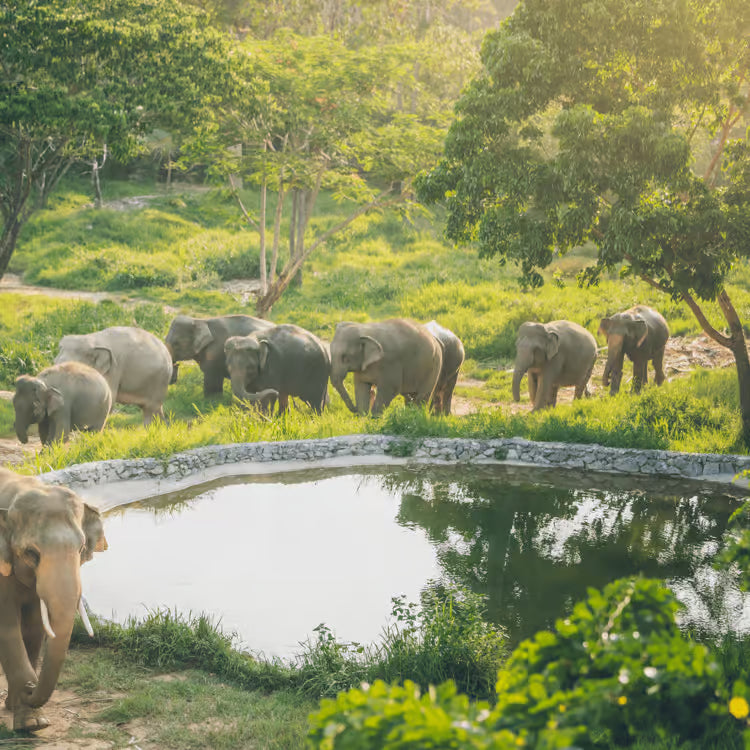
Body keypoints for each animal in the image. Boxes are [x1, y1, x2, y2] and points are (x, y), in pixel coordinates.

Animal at [0, 468, 107, 731]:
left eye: (81, 549)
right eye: (31, 553)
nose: (30, 687)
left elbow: (34, 627)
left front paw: (30, 719)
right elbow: (7, 627)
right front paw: (32, 723)